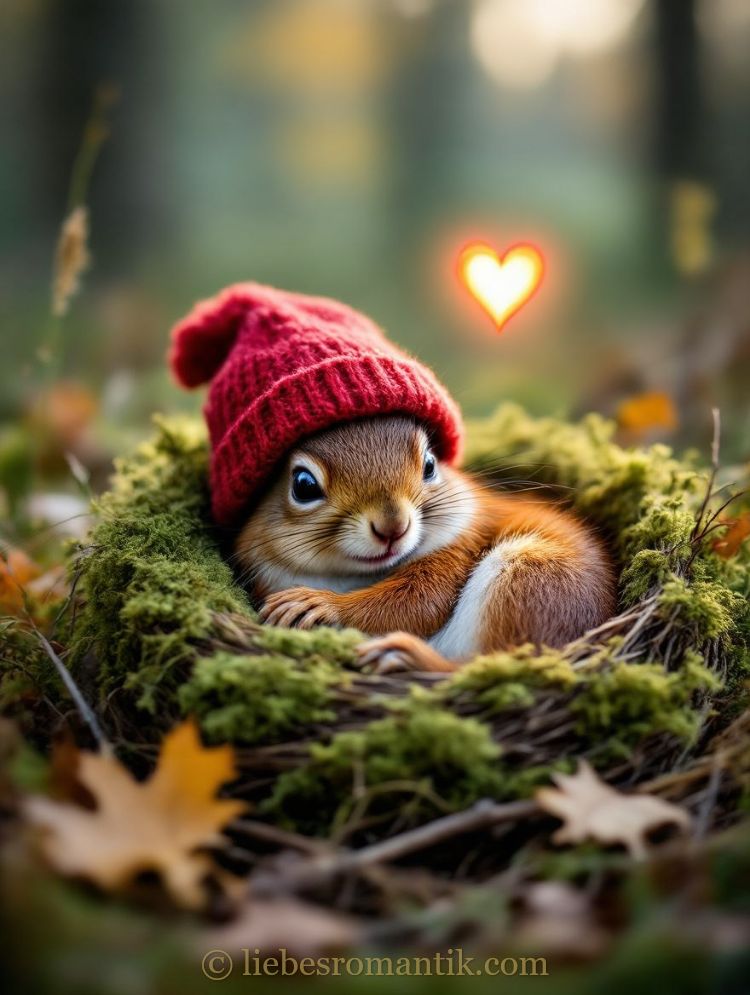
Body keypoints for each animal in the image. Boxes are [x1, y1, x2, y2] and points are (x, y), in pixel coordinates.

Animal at [235, 414, 616, 674]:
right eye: (303, 485)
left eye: (431, 465)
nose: (393, 526)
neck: (353, 576)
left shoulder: (461, 545)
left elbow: (416, 603)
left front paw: (320, 604)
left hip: (532, 582)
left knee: (491, 665)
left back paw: (407, 657)